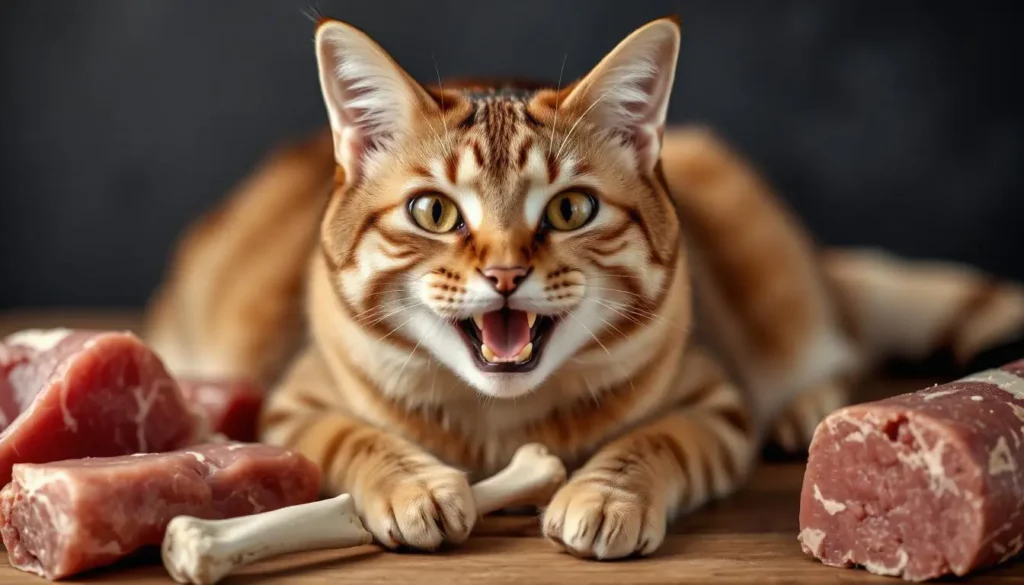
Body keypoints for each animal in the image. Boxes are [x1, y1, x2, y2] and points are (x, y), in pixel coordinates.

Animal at [144, 16, 1024, 561]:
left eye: (570, 208)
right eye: (434, 211)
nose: (504, 273)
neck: (499, 421)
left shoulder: (714, 399)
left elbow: (655, 440)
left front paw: (605, 496)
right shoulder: (296, 398)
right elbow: (356, 437)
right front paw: (414, 483)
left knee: (832, 345)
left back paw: (806, 405)